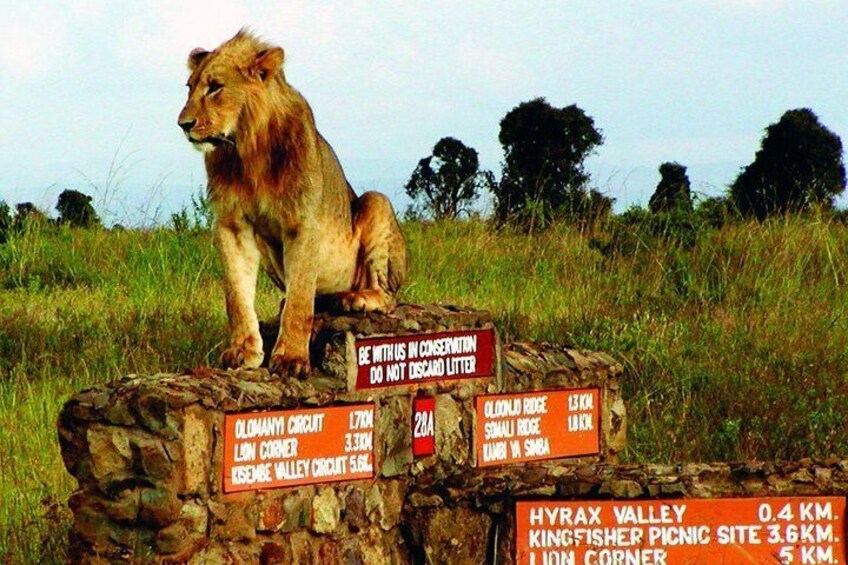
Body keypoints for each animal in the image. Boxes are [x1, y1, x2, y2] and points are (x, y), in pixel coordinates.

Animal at [176, 28, 408, 376]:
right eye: (190, 88)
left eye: (215, 87)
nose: (184, 125)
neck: (248, 148)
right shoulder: (232, 224)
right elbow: (236, 294)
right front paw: (242, 351)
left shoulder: (302, 222)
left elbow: (300, 300)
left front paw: (290, 359)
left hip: (375, 202)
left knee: (388, 296)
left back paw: (355, 298)